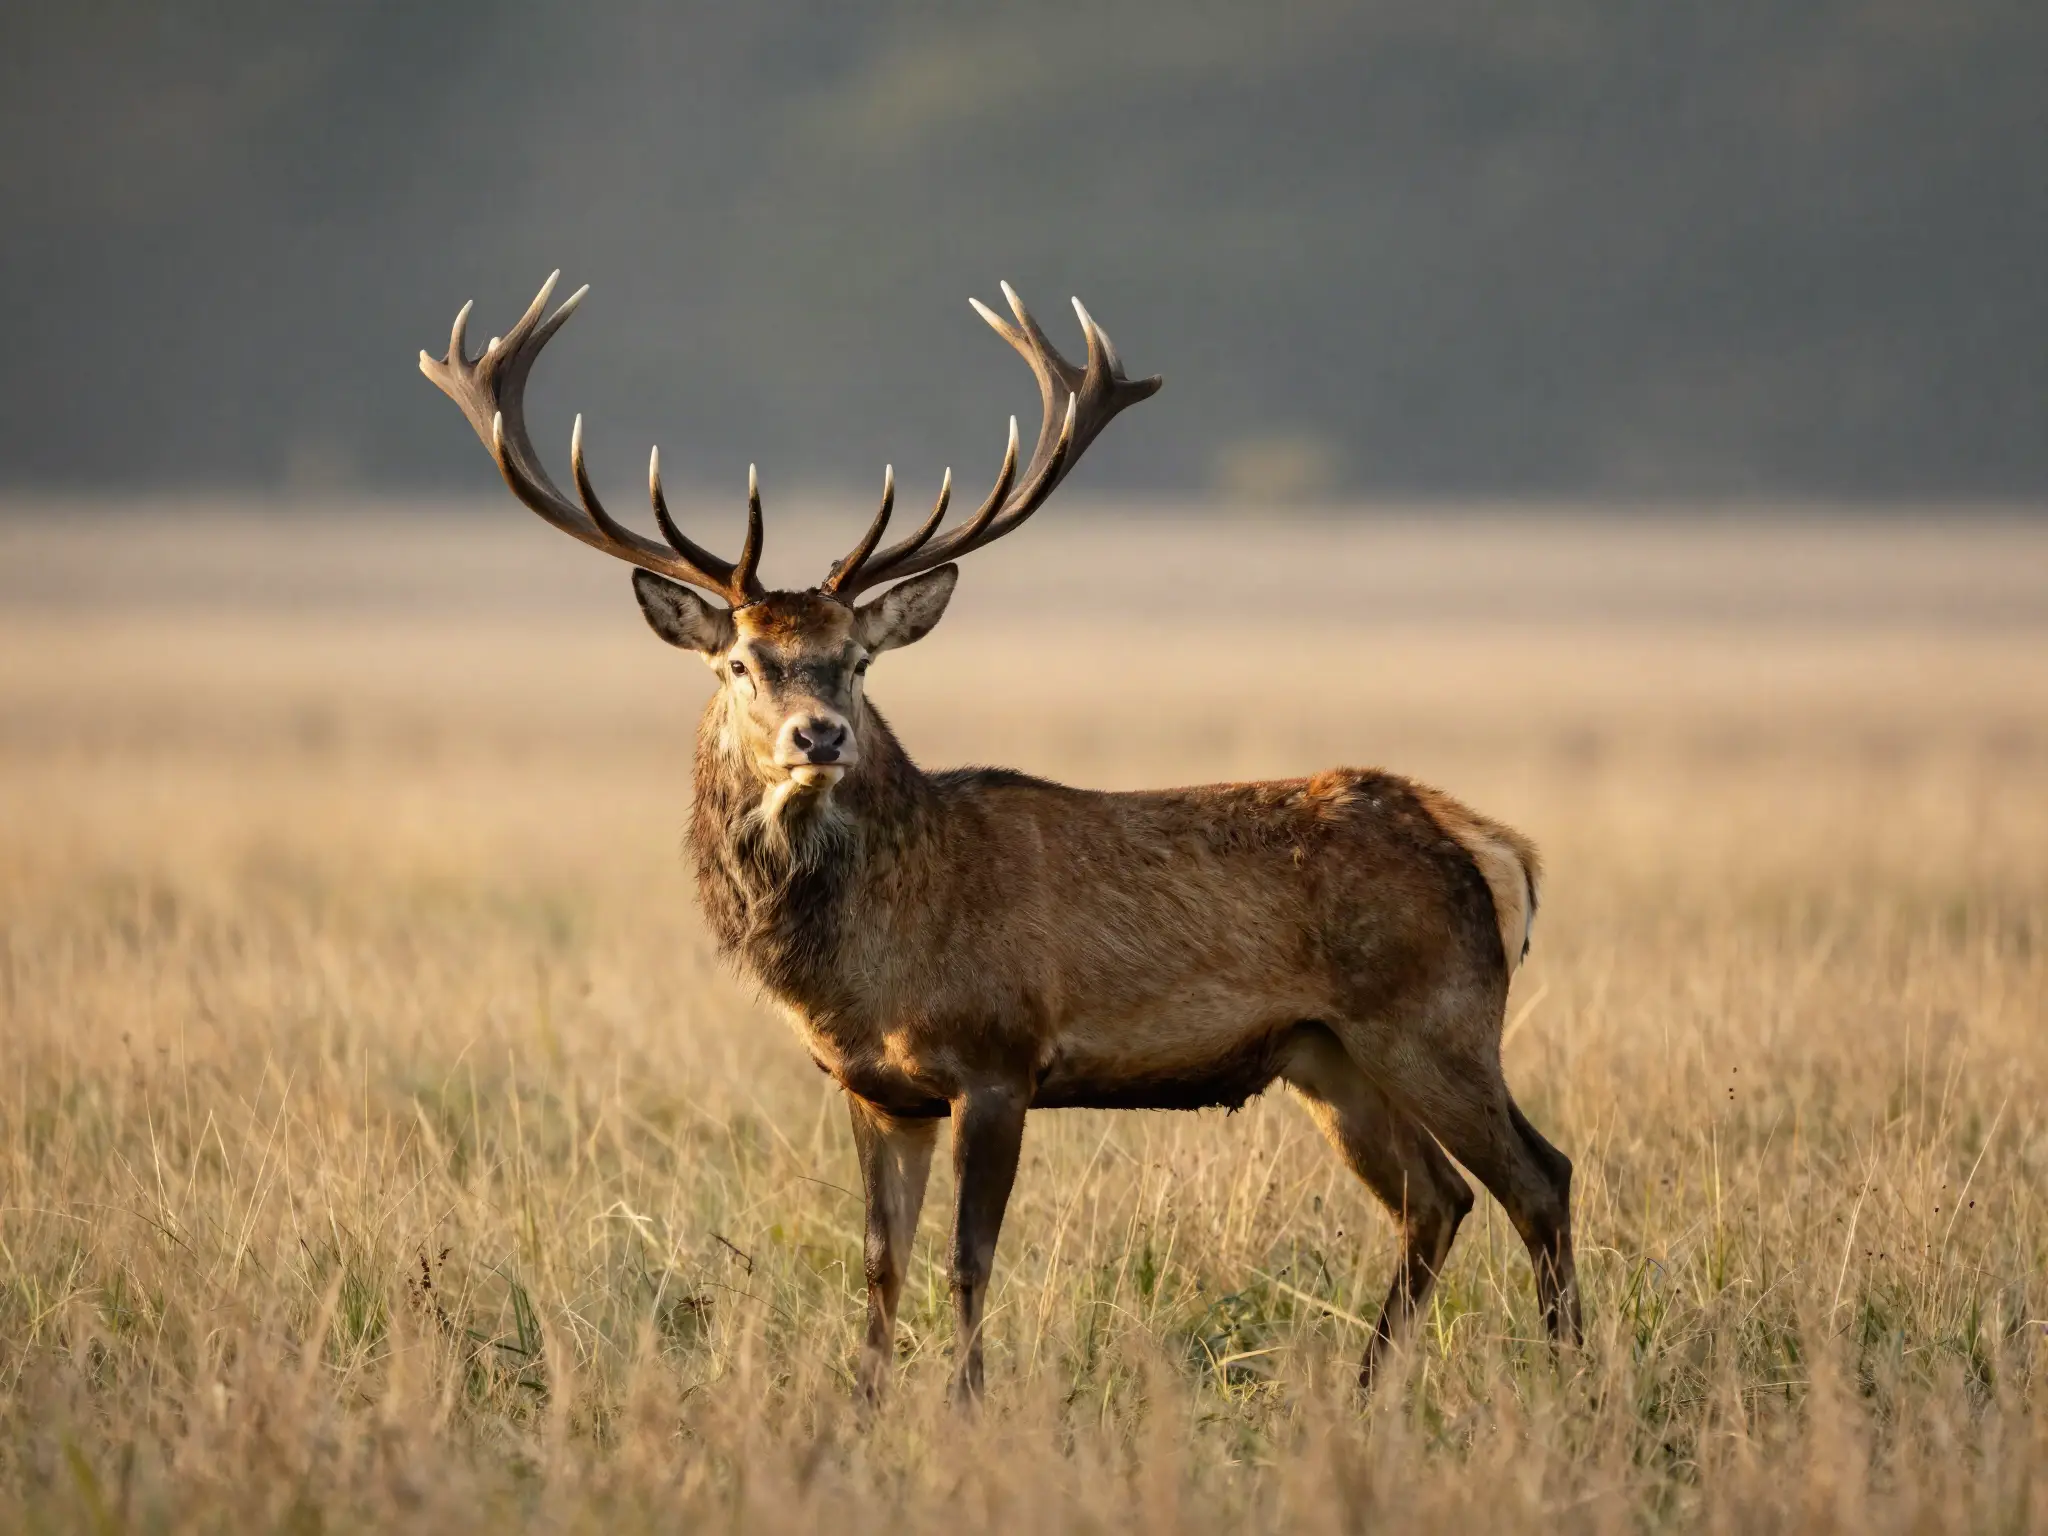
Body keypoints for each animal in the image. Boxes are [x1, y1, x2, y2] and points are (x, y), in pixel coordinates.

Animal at [419, 273, 1581, 1401]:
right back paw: (1367, 1388)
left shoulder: (998, 1056)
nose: (820, 734)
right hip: (1324, 1052)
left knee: (1538, 1177)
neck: (865, 965)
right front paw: (862, 1406)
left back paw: (1569, 1378)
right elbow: (879, 1261)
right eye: (740, 661)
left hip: (1432, 1018)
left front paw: (966, 1405)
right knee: (1435, 1199)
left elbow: (966, 1259)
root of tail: (1497, 849)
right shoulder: (875, 1088)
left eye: (858, 660)